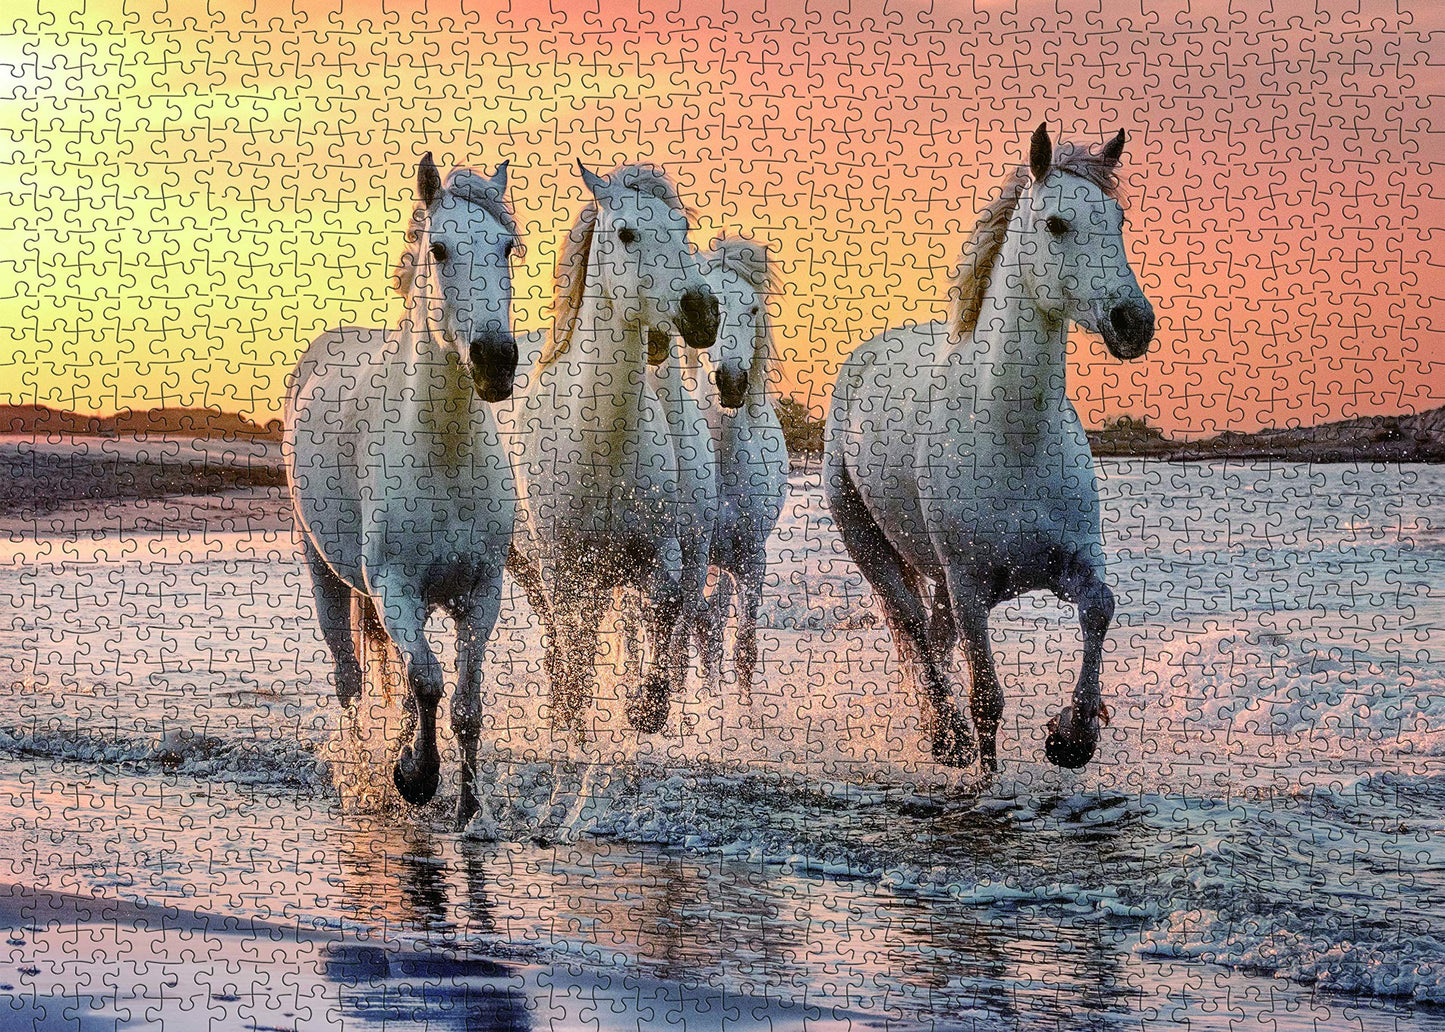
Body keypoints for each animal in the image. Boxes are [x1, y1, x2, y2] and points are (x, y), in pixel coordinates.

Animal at [284, 153, 522, 829]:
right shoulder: (396, 588)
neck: (445, 456)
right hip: (326, 575)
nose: (496, 360)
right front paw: (414, 777)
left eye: (508, 247)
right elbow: (428, 682)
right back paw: (364, 774)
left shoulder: (481, 594)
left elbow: (464, 702)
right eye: (439, 249)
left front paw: (470, 809)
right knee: (352, 681)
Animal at [506, 162, 720, 744]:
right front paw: (573, 721)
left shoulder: (660, 551)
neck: (601, 446)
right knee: (560, 634)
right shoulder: (560, 565)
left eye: (684, 229)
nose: (702, 311)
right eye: (626, 233)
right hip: (531, 566)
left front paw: (646, 706)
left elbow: (664, 608)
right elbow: (572, 641)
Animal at [824, 124, 1155, 774]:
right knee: (914, 631)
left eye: (1118, 220)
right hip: (870, 545)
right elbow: (987, 701)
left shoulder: (1072, 563)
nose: (1133, 322)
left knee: (933, 635)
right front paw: (986, 772)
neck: (1012, 439)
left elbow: (1100, 607)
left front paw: (1072, 736)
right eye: (1057, 224)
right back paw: (944, 734)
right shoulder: (971, 587)